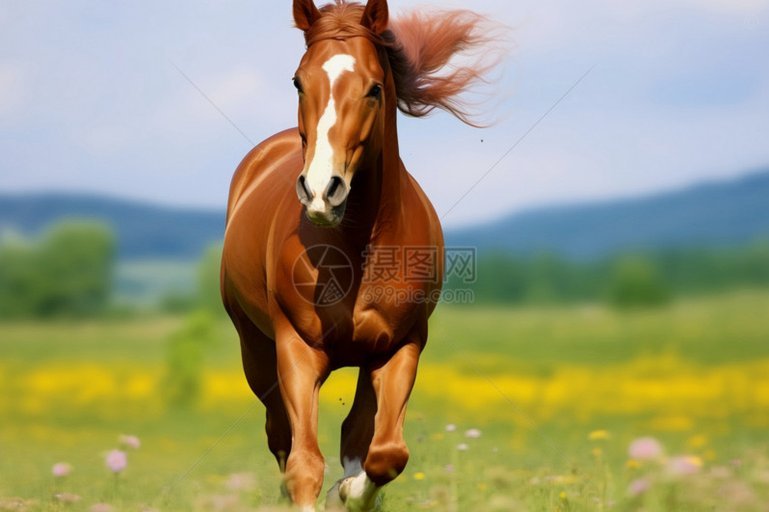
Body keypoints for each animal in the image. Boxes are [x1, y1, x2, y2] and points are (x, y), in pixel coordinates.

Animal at [220, 1, 499, 509]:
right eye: (298, 81)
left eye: (373, 88)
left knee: (355, 433)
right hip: (256, 349)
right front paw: (332, 488)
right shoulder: (297, 349)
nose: (320, 192)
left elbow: (385, 453)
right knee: (280, 436)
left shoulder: (399, 346)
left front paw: (350, 490)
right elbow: (304, 466)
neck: (359, 247)